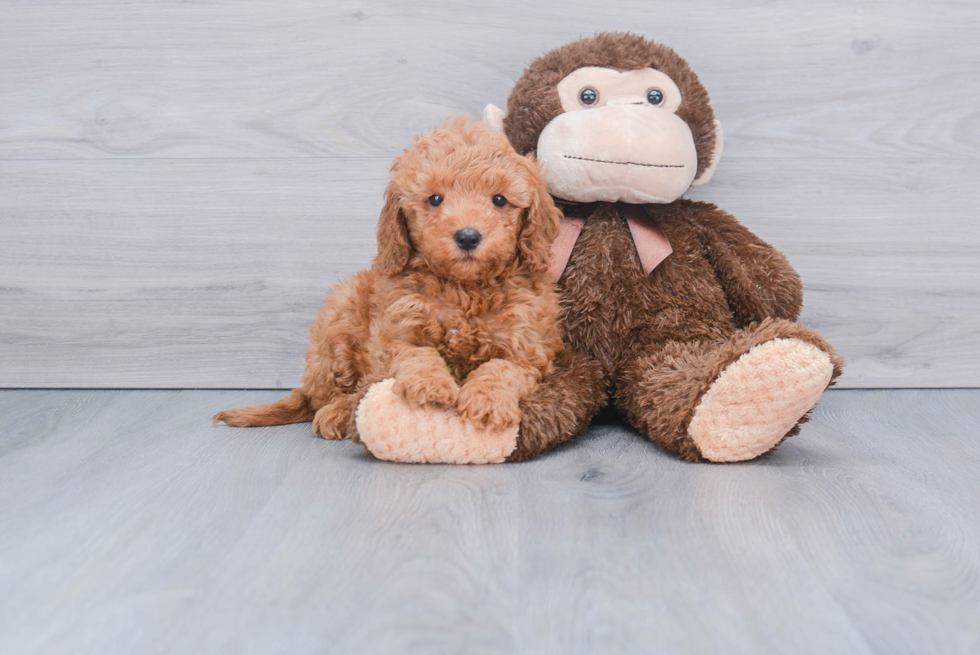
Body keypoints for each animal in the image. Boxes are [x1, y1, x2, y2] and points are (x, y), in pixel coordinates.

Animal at [217, 118, 564, 464]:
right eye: (435, 199)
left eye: (499, 200)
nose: (467, 236)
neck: (463, 288)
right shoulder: (394, 332)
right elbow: (417, 352)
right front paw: (430, 385)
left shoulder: (527, 347)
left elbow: (502, 368)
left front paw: (487, 401)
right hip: (338, 316)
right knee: (331, 395)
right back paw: (337, 413)